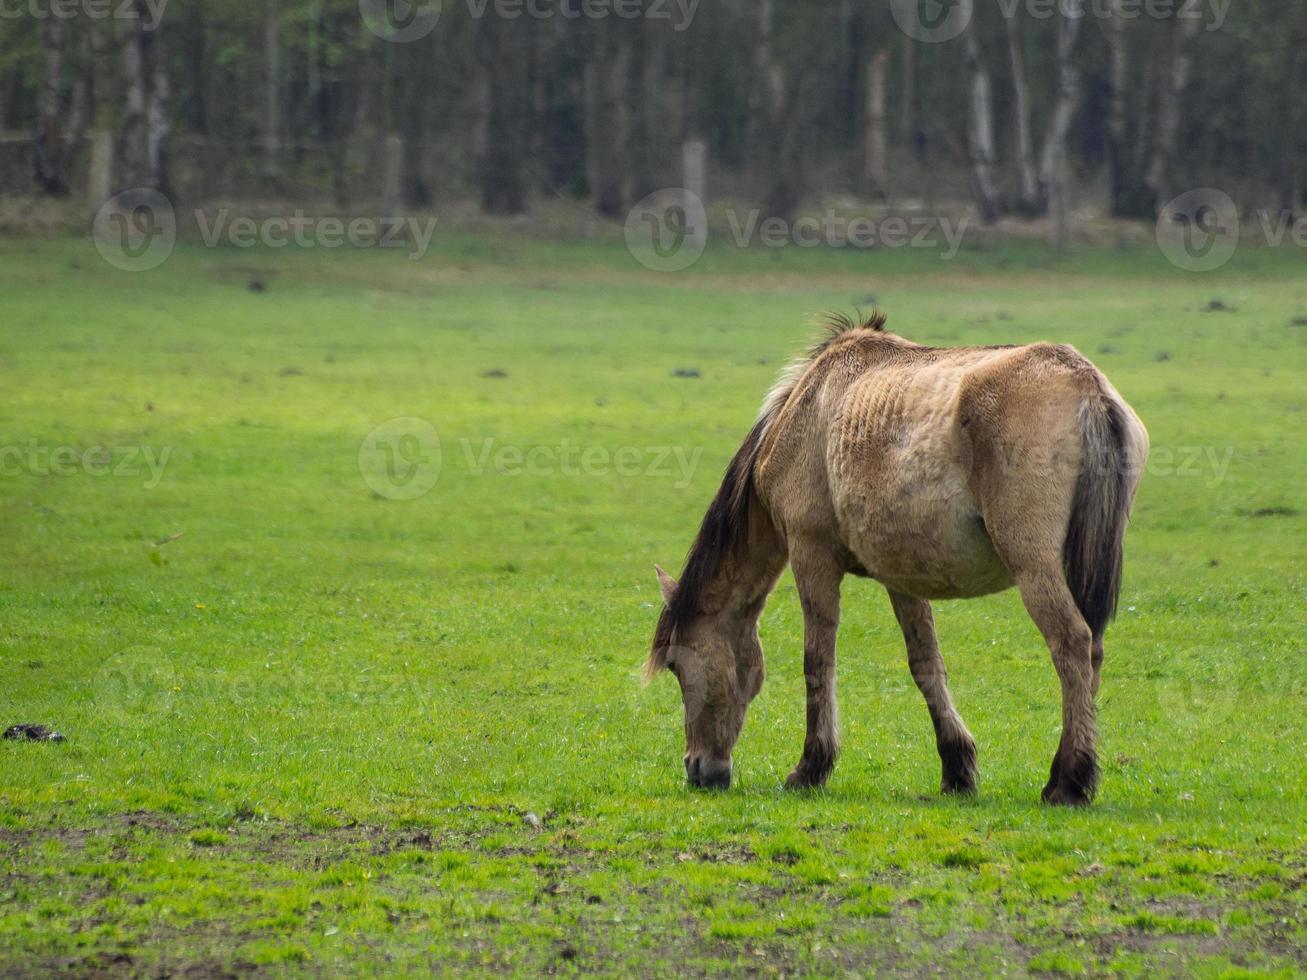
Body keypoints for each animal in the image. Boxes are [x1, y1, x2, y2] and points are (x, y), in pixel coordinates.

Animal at [648, 312, 1150, 804]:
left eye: (674, 664)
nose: (697, 768)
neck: (805, 417)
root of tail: (1085, 384)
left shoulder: (812, 557)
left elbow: (817, 661)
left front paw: (811, 768)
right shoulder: (901, 575)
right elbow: (925, 664)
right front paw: (956, 769)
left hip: (1034, 566)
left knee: (1072, 645)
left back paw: (1069, 781)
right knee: (1092, 653)